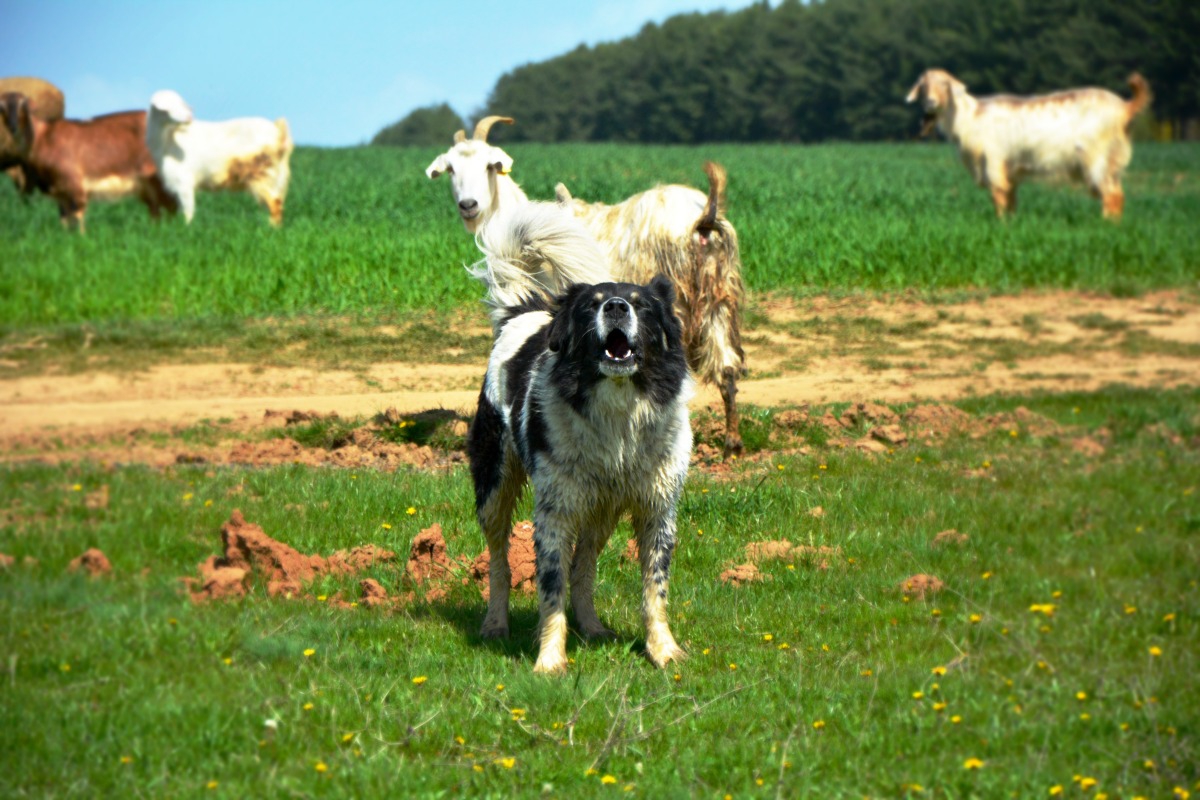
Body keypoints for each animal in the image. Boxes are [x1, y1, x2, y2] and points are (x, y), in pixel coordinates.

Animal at [0, 93, 175, 232]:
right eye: (2, 107)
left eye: (23, 104)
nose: (13, 126)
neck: (42, 136)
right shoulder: (59, 192)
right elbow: (64, 219)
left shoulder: (74, 184)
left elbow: (78, 217)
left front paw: (82, 239)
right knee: (157, 210)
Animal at [145, 91, 295, 226]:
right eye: (167, 106)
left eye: (181, 103)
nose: (189, 117)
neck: (169, 139)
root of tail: (279, 133)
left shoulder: (183, 182)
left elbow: (188, 211)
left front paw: (186, 229)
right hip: (277, 177)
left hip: (262, 174)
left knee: (275, 203)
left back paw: (271, 229)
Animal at [427, 115, 744, 453]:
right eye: (451, 169)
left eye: (490, 165)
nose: (468, 205)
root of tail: (702, 218)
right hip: (719, 299)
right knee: (727, 367)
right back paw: (732, 443)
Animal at [468, 203, 696, 671]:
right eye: (592, 304)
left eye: (642, 305)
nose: (616, 306)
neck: (619, 416)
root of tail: (523, 312)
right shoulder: (554, 511)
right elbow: (550, 588)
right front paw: (550, 660)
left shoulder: (658, 507)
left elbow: (654, 588)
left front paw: (664, 651)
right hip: (495, 484)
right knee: (499, 559)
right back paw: (495, 623)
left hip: (601, 508)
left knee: (584, 564)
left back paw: (592, 626)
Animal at [907, 67, 1152, 219]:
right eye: (923, 86)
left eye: (945, 85)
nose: (930, 103)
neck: (971, 117)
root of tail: (1125, 107)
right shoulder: (1010, 170)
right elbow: (1010, 198)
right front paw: (1010, 224)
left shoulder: (993, 160)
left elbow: (998, 195)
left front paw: (999, 224)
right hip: (1113, 160)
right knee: (1118, 194)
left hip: (1096, 158)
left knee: (1110, 195)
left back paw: (1104, 225)